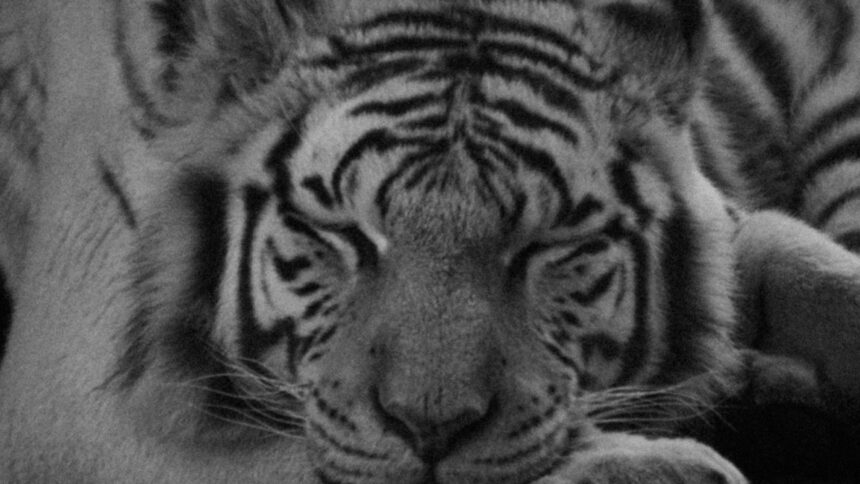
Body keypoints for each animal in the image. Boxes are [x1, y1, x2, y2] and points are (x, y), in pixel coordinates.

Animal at [2, 0, 860, 482]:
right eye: (343, 232)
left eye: (548, 244)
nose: (432, 426)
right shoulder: (65, 391)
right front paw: (653, 466)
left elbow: (816, 272)